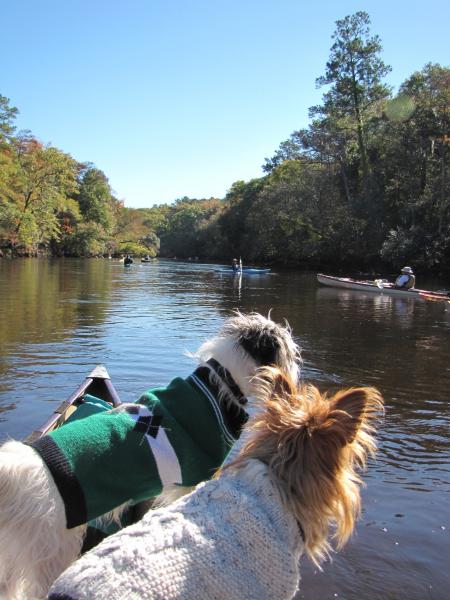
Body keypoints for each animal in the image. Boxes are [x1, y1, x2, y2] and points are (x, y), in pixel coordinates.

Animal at [0, 312, 302, 596]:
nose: (295, 373)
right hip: (51, 549)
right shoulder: (193, 480)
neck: (221, 382)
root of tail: (19, 466)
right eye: (288, 350)